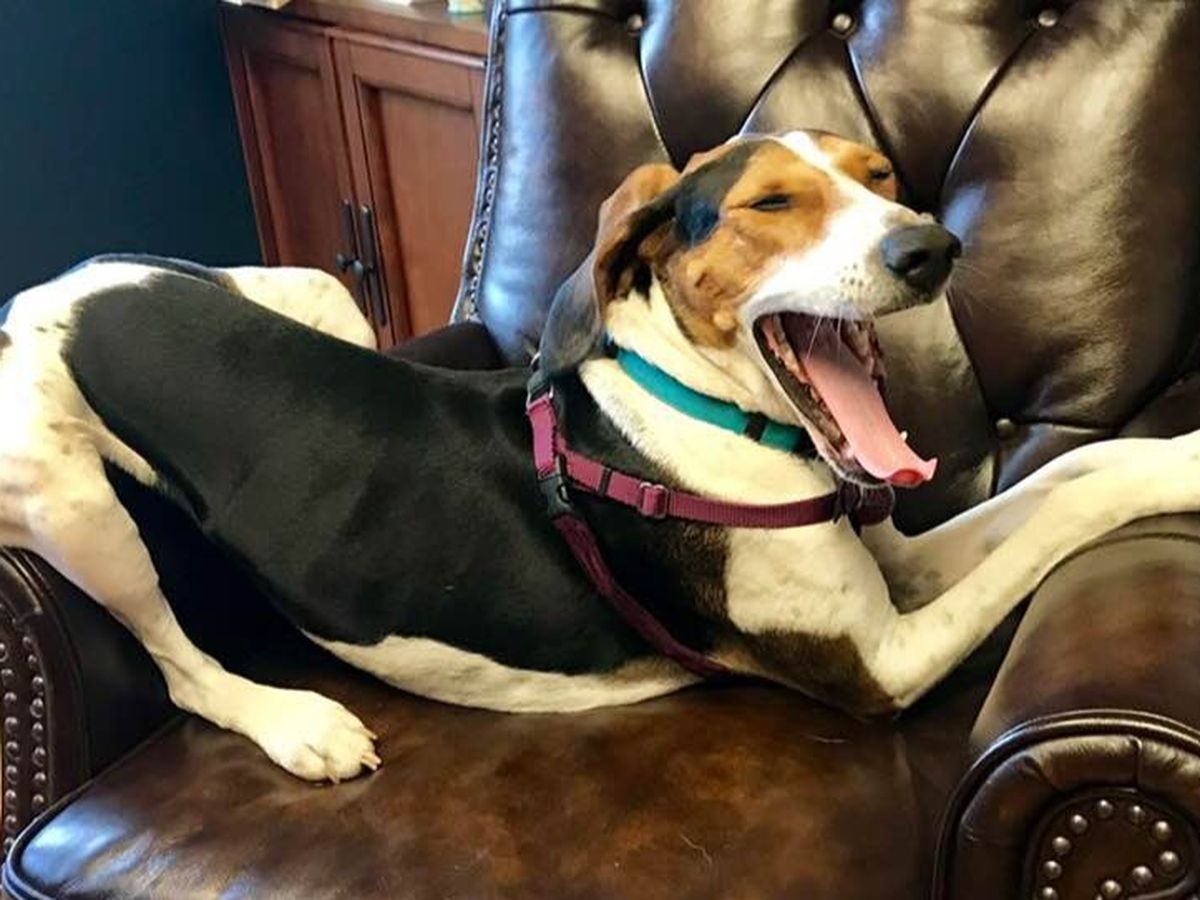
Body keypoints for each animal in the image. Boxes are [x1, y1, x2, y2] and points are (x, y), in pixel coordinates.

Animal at [3, 131, 1199, 784]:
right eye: (773, 202)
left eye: (885, 176)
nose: (932, 247)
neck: (708, 410)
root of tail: (60, 279)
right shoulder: (881, 666)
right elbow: (1061, 516)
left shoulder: (892, 568)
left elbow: (1062, 479)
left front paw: (1172, 448)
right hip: (75, 503)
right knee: (176, 657)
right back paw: (294, 723)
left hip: (314, 294)